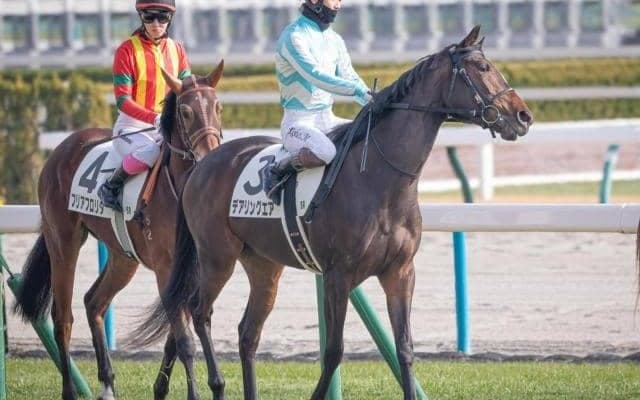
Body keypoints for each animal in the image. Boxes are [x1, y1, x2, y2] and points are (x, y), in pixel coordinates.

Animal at [13, 61, 225, 400]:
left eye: (218, 107)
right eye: (186, 112)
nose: (208, 157)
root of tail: (62, 148)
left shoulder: (191, 269)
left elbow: (173, 340)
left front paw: (160, 389)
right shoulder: (166, 270)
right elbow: (184, 341)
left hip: (123, 258)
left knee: (93, 302)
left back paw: (108, 384)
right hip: (63, 242)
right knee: (63, 318)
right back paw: (70, 390)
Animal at [135, 26, 533, 400]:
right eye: (483, 67)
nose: (523, 115)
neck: (380, 179)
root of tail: (202, 164)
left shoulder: (400, 272)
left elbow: (404, 349)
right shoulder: (337, 276)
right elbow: (333, 351)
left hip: (263, 264)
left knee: (247, 332)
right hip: (217, 256)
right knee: (198, 311)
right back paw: (216, 384)